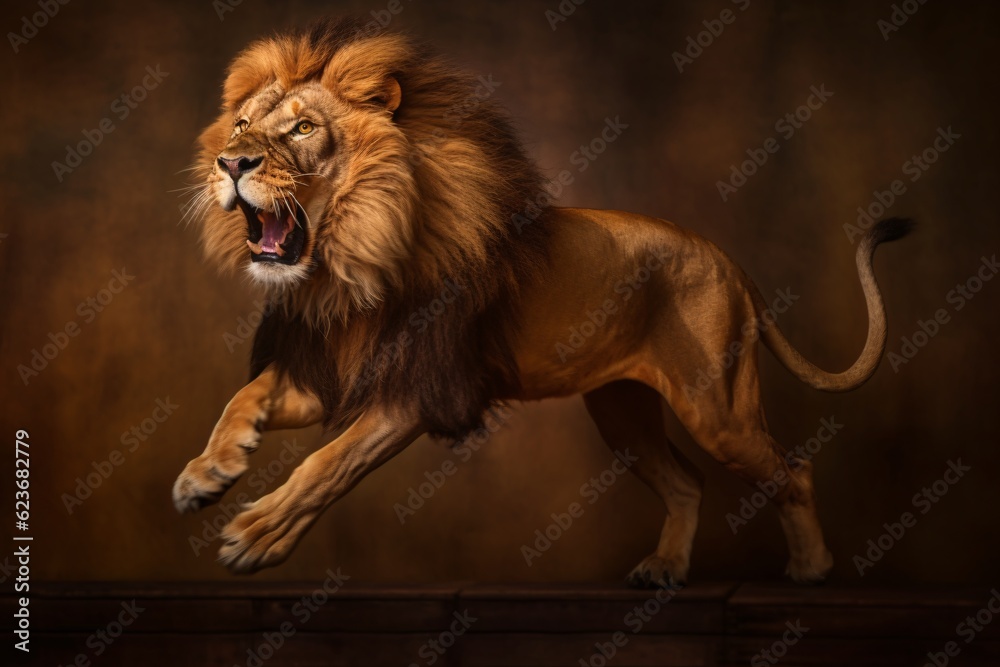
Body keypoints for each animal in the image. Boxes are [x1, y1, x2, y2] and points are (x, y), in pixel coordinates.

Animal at [173, 18, 912, 586]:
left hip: (717, 407)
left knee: (793, 469)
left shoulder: (418, 388)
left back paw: (812, 569)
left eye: (301, 129)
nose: (230, 164)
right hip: (623, 412)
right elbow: (245, 396)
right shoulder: (334, 371)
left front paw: (257, 532)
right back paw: (665, 568)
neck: (350, 259)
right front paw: (207, 472)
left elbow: (327, 464)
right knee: (688, 484)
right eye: (240, 124)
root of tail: (729, 262)